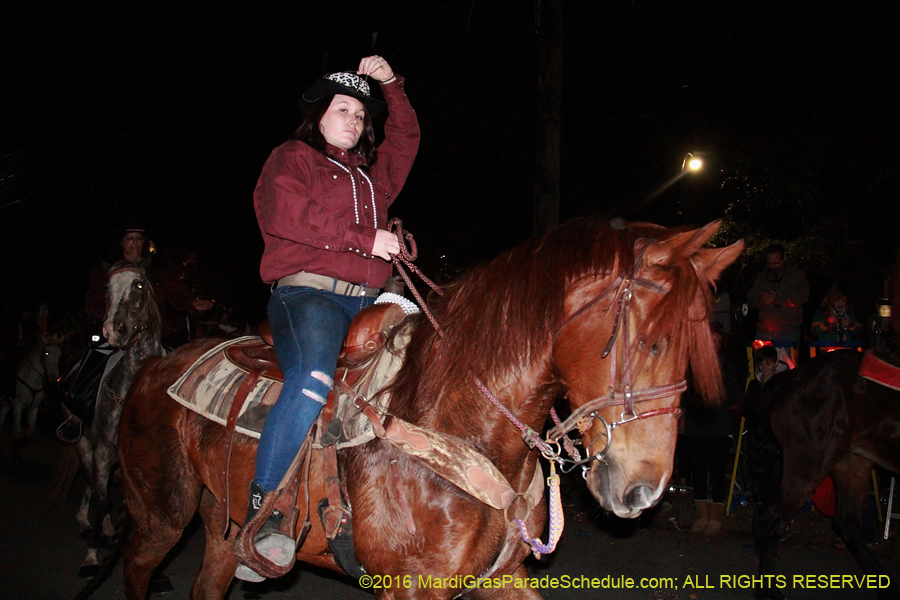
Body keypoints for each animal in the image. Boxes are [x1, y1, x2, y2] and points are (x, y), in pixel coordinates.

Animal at [118, 219, 740, 600]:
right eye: (652, 342)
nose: (644, 491)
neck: (461, 424)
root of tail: (152, 366)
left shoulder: (500, 576)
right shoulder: (410, 586)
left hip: (222, 529)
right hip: (161, 517)